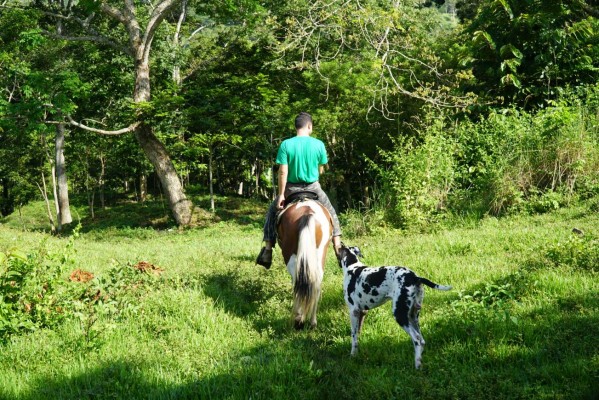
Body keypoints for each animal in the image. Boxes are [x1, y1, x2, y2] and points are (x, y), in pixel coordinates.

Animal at [276, 195, 332, 330]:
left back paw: (298, 320)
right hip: (320, 253)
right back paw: (312, 322)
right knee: (316, 282)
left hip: (289, 254)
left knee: (297, 281)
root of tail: (308, 212)